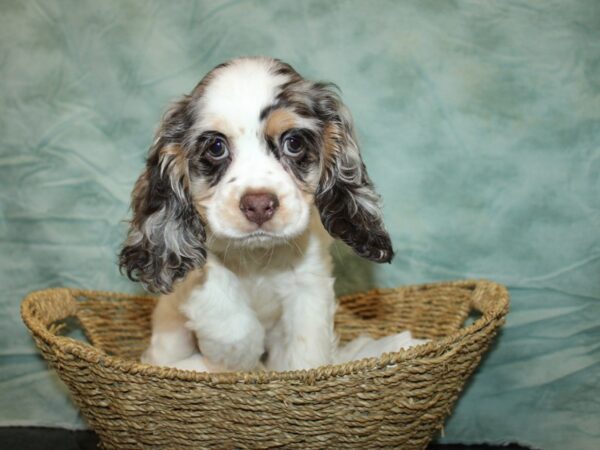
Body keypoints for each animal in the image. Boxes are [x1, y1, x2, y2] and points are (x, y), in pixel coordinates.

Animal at [119, 57, 422, 372]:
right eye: (216, 147)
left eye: (294, 143)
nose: (258, 204)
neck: (258, 256)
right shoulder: (194, 263)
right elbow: (226, 308)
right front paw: (239, 357)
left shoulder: (309, 283)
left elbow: (306, 349)